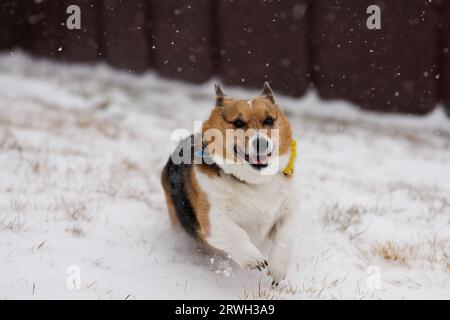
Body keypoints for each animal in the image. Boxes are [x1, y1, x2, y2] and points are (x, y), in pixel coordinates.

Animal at [160, 82, 298, 284]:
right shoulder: (212, 218)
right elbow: (236, 232)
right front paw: (253, 258)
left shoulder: (287, 211)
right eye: (238, 123)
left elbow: (285, 237)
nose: (261, 143)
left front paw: (277, 269)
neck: (253, 183)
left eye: (269, 120)